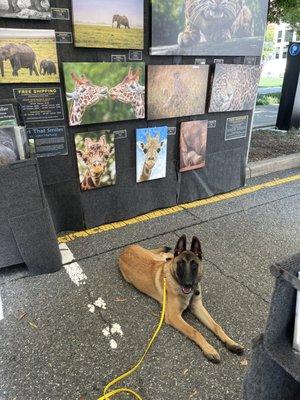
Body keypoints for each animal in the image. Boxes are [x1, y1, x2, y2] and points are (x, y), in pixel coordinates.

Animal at [118, 234, 245, 362]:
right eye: (181, 264)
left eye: (194, 264)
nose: (188, 284)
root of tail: (125, 249)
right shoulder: (173, 316)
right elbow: (195, 331)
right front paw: (209, 349)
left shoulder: (197, 306)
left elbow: (217, 326)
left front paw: (231, 343)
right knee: (166, 256)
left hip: (158, 259)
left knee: (166, 255)